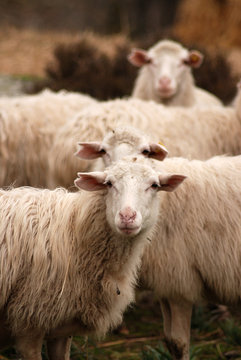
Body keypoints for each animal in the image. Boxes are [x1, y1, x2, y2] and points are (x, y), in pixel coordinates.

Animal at [0, 158, 185, 360]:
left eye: (154, 185)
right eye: (109, 183)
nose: (127, 217)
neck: (73, 233)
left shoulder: (60, 328)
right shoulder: (28, 322)